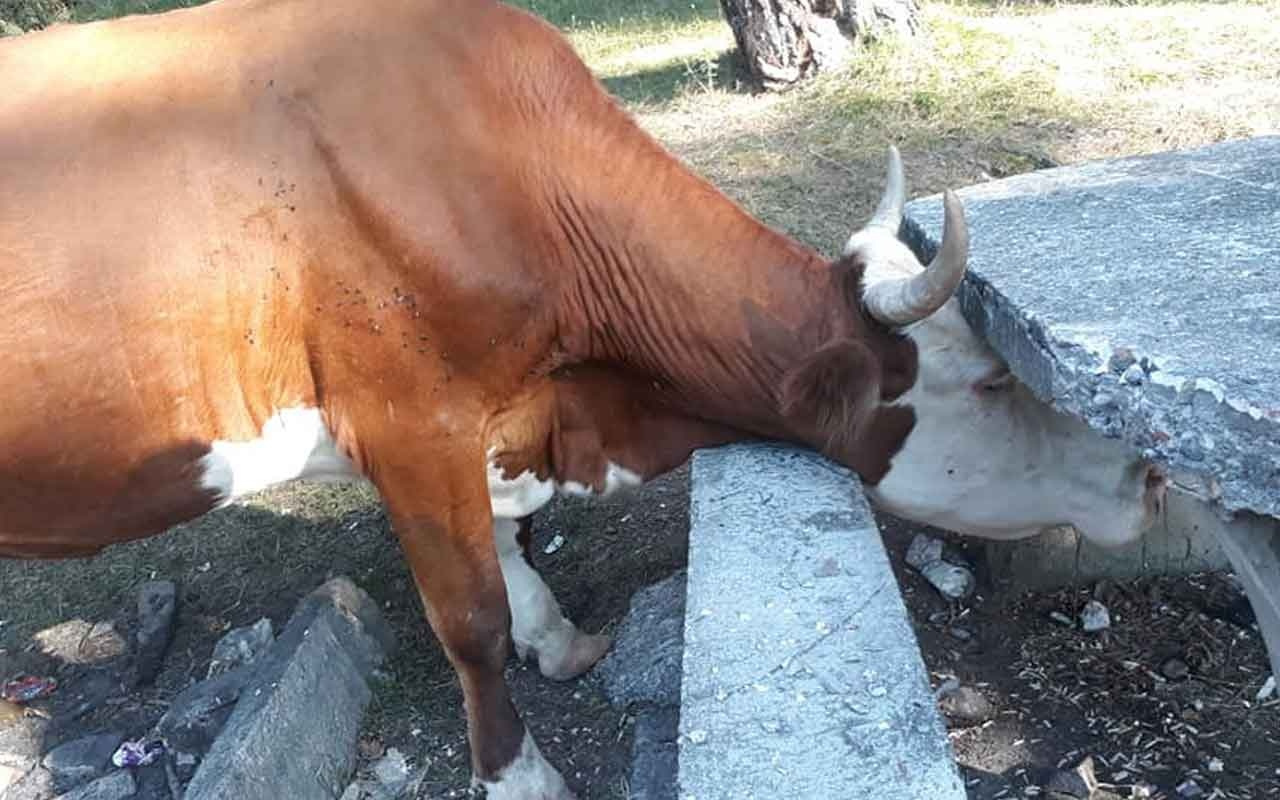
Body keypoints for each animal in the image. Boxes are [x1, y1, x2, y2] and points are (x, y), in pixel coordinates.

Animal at [0, 0, 1167, 793]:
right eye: (989, 378)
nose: (1147, 472)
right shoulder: (408, 422)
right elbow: (467, 618)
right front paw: (517, 771)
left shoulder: (489, 421)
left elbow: (508, 545)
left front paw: (557, 636)